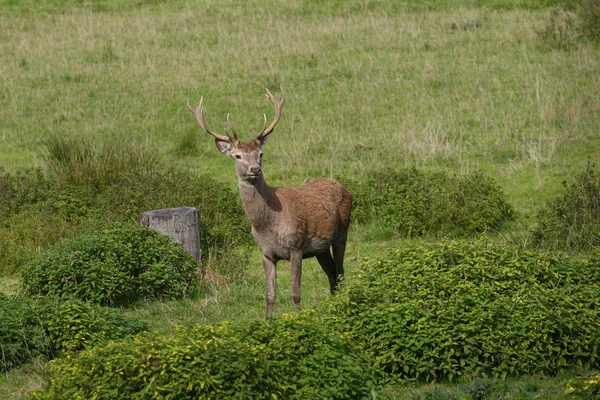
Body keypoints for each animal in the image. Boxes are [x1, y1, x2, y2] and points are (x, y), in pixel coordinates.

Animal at [188, 88, 352, 318]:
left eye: (261, 154)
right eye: (237, 156)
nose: (255, 169)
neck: (268, 224)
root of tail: (343, 186)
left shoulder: (296, 246)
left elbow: (295, 292)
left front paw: (299, 318)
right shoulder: (266, 252)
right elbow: (269, 295)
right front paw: (268, 321)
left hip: (342, 232)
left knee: (341, 272)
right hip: (320, 248)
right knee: (332, 274)